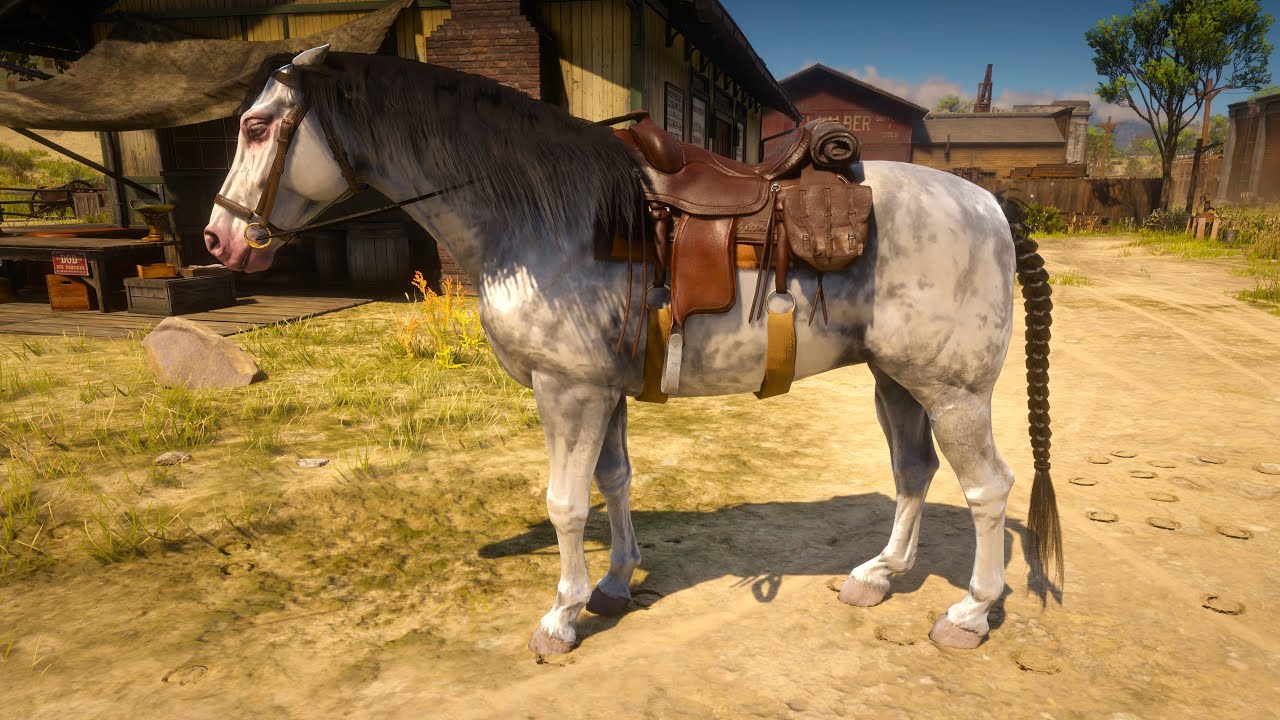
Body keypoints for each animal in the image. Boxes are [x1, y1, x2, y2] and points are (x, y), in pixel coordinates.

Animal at [204, 46, 1060, 654]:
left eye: (257, 128)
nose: (218, 238)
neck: (547, 214)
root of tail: (988, 201)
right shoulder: (603, 390)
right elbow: (613, 482)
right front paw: (614, 584)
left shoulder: (568, 391)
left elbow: (565, 501)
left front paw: (561, 616)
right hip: (898, 381)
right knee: (914, 472)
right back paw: (880, 576)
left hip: (953, 392)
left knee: (987, 489)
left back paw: (970, 612)